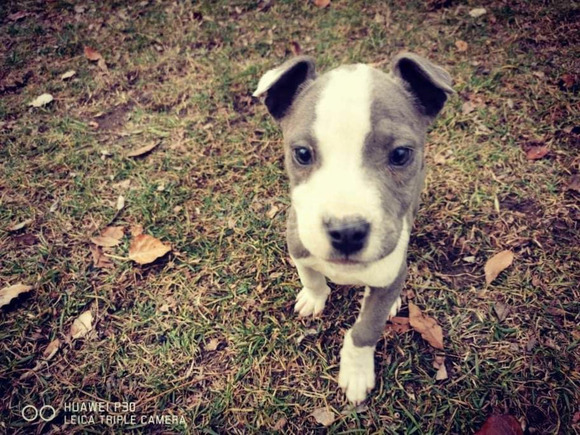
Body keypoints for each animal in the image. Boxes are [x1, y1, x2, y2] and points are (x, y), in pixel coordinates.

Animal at [254, 52, 454, 404]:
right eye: (302, 153)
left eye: (400, 154)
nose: (346, 232)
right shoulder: (299, 246)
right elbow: (311, 276)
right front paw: (314, 297)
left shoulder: (388, 274)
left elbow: (365, 329)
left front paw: (357, 373)